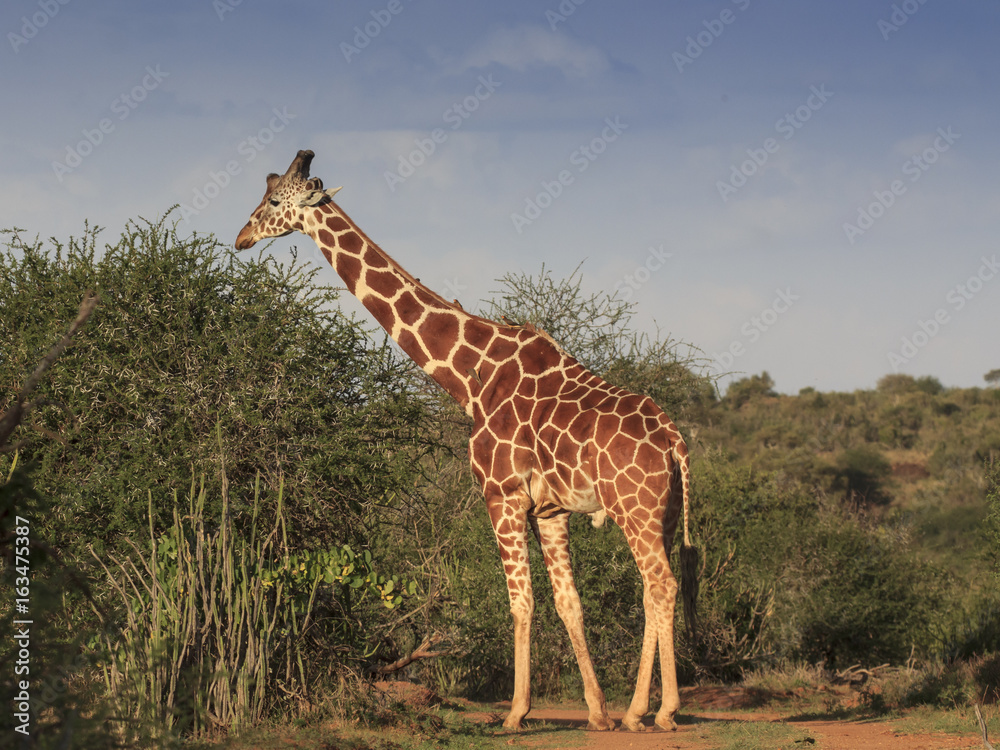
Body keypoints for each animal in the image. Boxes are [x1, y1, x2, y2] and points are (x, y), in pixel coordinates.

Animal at [235, 150, 697, 732]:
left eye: (275, 200)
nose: (241, 237)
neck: (470, 378)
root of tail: (676, 441)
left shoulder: (501, 493)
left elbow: (520, 603)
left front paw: (516, 713)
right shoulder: (549, 509)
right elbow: (569, 602)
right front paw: (596, 712)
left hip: (634, 507)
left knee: (660, 585)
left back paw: (657, 710)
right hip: (663, 512)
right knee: (655, 587)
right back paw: (639, 711)